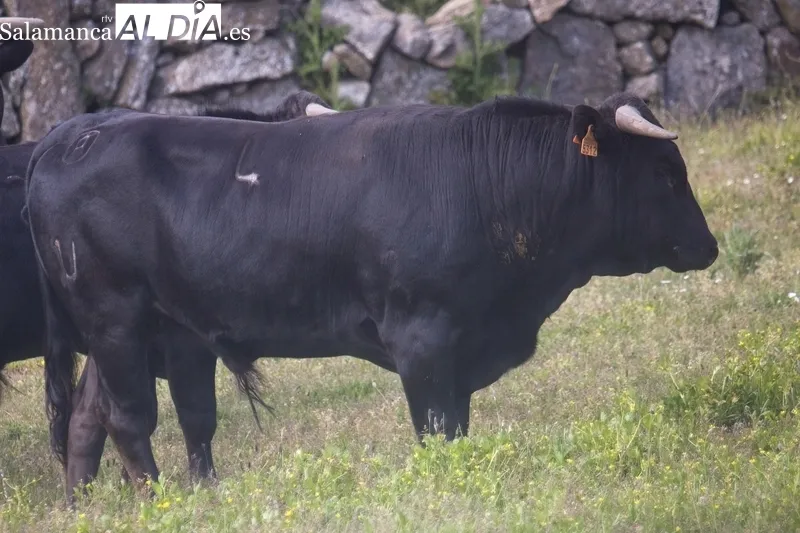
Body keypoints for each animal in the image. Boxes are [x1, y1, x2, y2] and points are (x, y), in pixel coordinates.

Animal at [25, 92, 718, 501]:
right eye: (665, 174)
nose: (709, 246)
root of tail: (72, 134)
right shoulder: (423, 339)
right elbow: (437, 429)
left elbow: (458, 425)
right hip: (114, 318)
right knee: (128, 418)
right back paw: (159, 502)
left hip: (151, 329)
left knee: (106, 416)